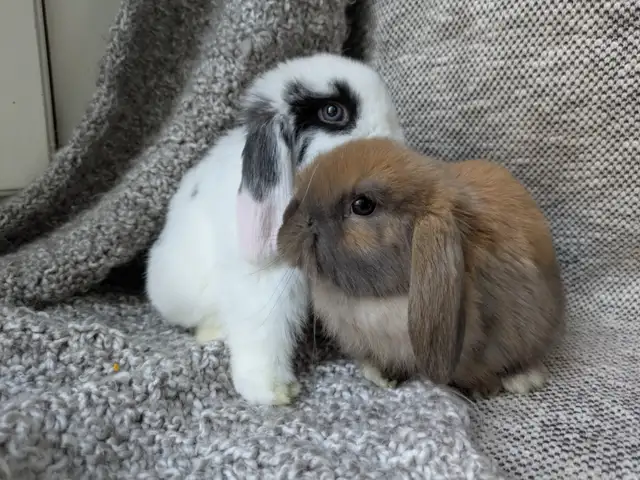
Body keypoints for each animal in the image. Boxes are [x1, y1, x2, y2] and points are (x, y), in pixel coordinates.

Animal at [277, 137, 566, 397]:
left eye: (362, 205)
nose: (290, 222)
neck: (384, 298)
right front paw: (379, 374)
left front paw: (485, 388)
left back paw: (524, 379)